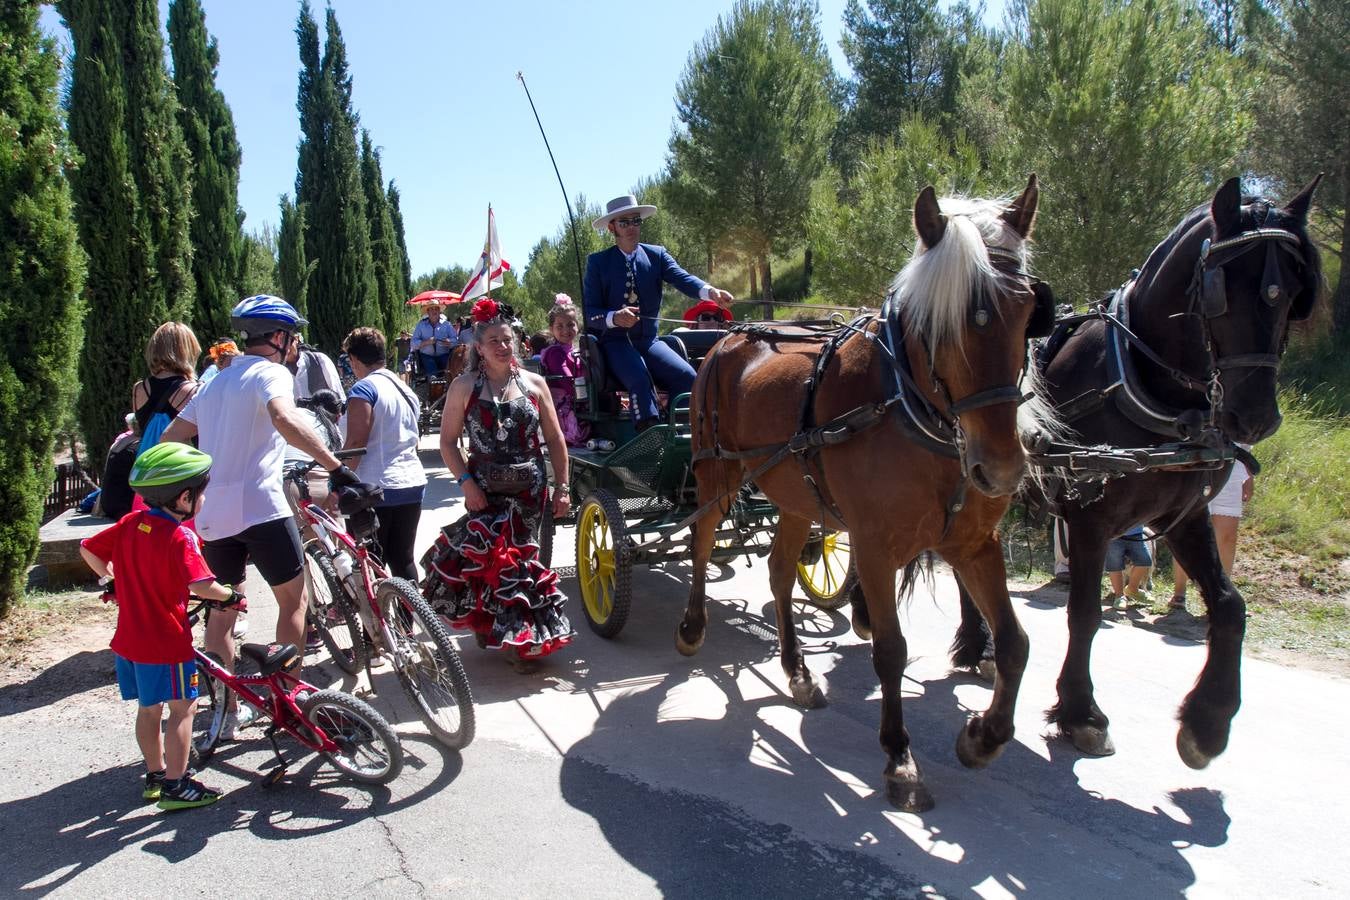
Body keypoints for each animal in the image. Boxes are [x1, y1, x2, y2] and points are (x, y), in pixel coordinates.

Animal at [675, 175, 1053, 809]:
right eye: (941, 323)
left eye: (1029, 311)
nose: (1000, 468)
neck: (910, 410)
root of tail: (726, 337)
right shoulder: (875, 548)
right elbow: (891, 649)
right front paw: (899, 757)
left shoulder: (975, 544)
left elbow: (1015, 642)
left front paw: (983, 736)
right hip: (716, 475)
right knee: (702, 541)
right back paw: (693, 625)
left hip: (795, 496)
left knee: (780, 569)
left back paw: (797, 670)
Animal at [950, 179, 1317, 771]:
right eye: (1222, 287)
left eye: (1294, 292)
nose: (1255, 416)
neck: (1145, 382)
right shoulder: (1091, 518)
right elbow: (1083, 613)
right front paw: (1081, 712)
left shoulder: (1185, 516)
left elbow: (1230, 607)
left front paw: (1207, 723)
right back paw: (975, 643)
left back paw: (976, 645)